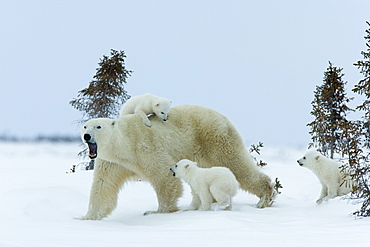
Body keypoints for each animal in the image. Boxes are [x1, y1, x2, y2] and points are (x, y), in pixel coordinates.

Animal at [81, 104, 278, 220]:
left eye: (98, 126)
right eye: (85, 126)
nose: (87, 136)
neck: (124, 144)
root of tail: (223, 117)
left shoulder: (145, 146)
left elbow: (163, 175)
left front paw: (157, 211)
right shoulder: (112, 162)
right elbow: (103, 185)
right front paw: (87, 217)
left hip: (214, 137)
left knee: (236, 164)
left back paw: (264, 198)